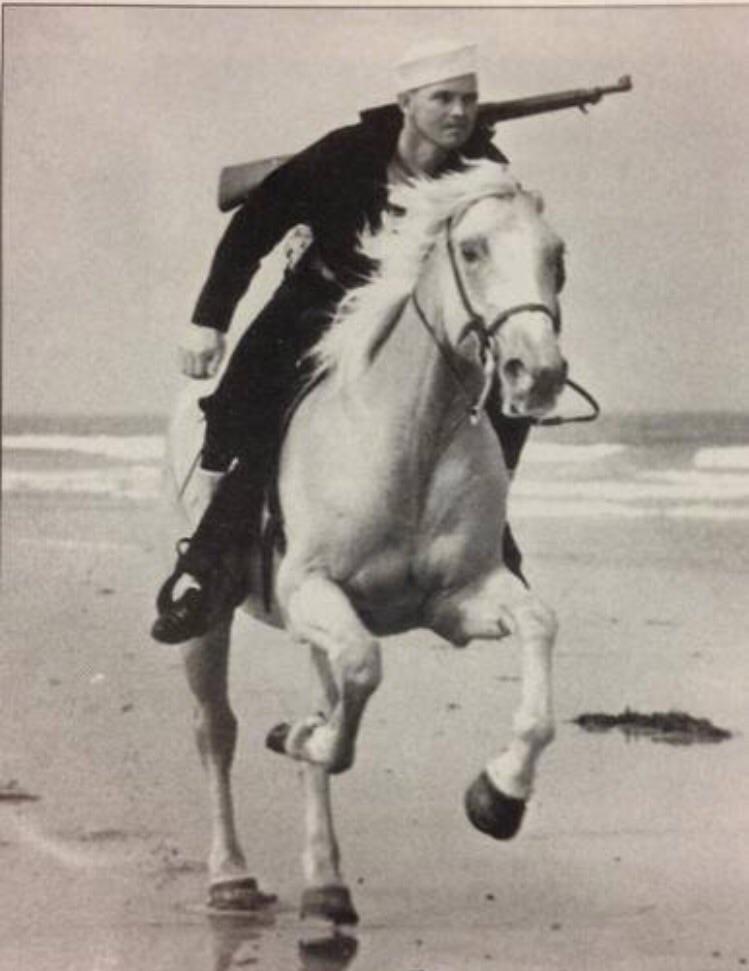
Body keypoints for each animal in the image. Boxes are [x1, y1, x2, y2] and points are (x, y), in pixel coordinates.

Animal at [165, 161, 568, 928]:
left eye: (556, 256)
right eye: (472, 249)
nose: (538, 374)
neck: (410, 434)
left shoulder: (458, 599)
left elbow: (536, 627)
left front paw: (497, 796)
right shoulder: (310, 588)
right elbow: (358, 671)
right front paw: (302, 735)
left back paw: (325, 885)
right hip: (212, 618)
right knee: (214, 729)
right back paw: (230, 877)